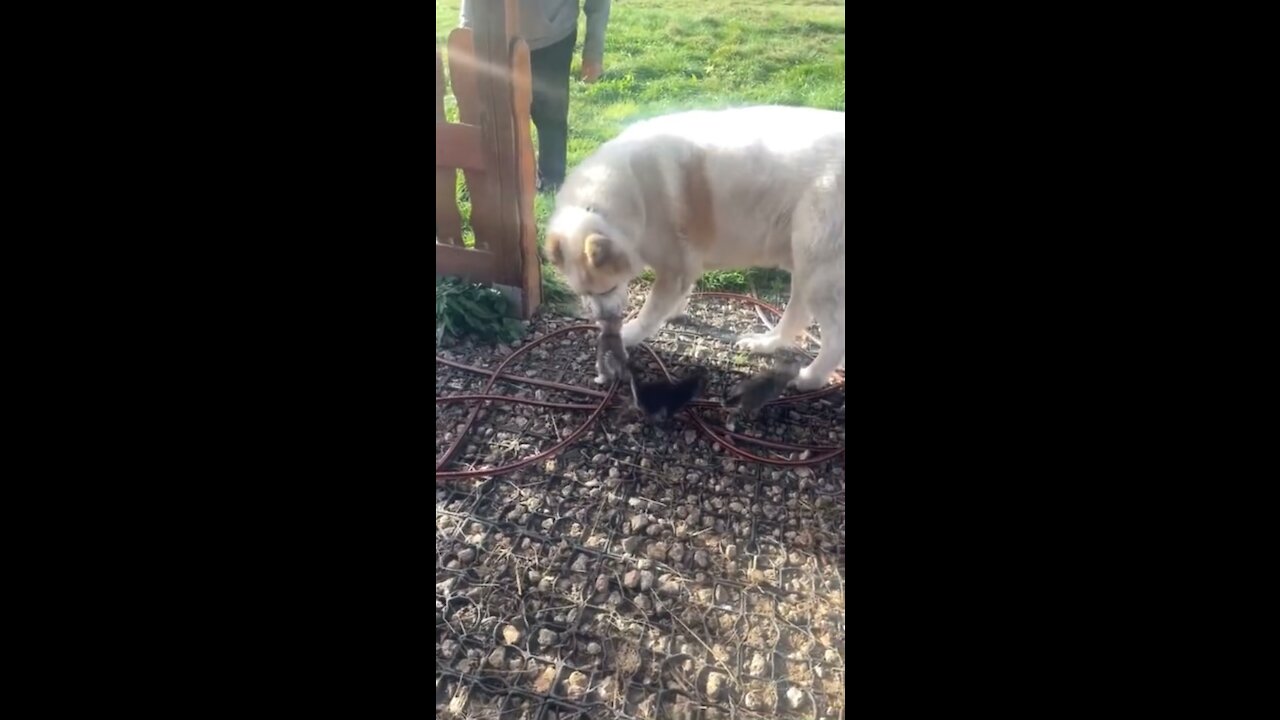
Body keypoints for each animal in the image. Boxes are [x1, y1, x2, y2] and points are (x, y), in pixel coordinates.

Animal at [545, 103, 844, 389]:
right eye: (585, 293)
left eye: (608, 288)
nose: (605, 322)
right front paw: (675, 312)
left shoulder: (675, 269)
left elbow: (650, 312)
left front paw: (629, 333)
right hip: (804, 268)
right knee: (797, 315)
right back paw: (766, 343)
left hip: (818, 276)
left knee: (834, 339)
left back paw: (810, 378)